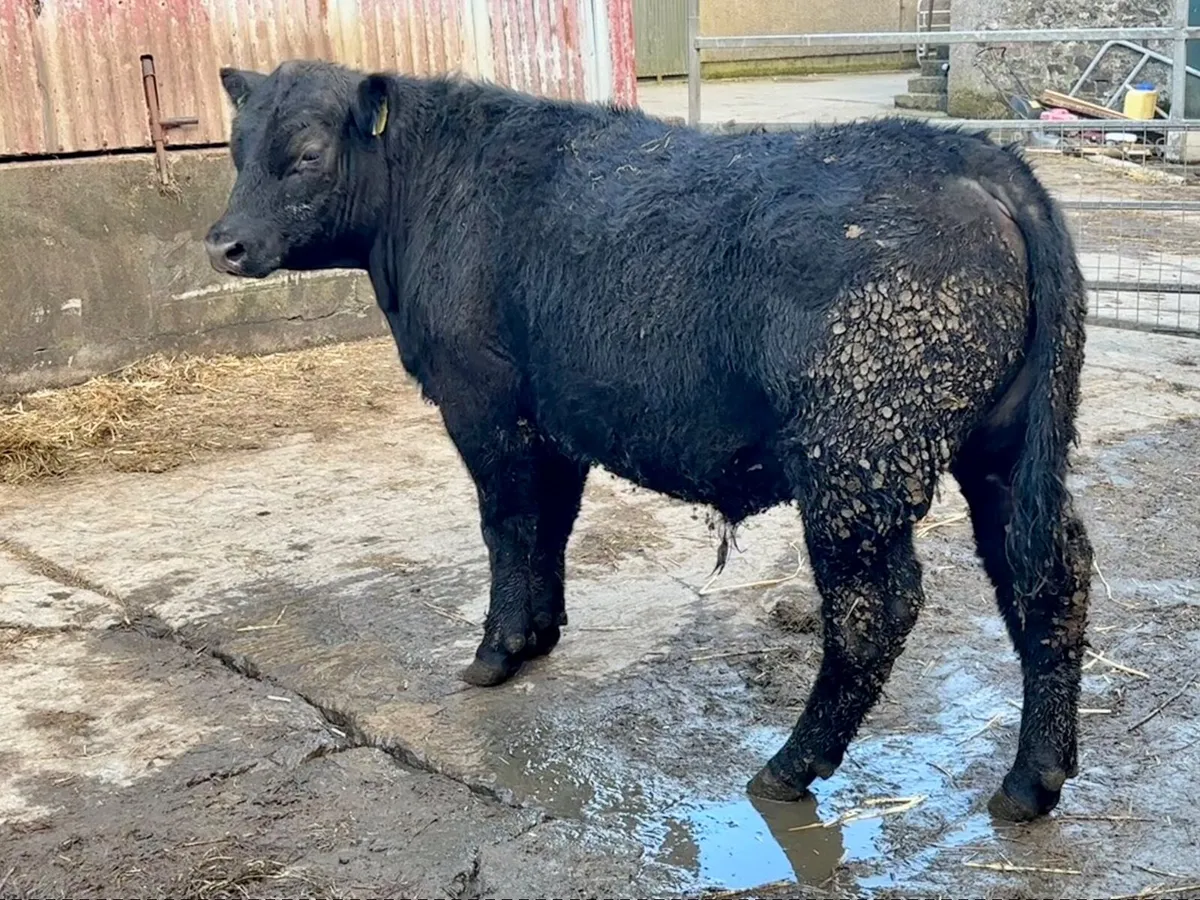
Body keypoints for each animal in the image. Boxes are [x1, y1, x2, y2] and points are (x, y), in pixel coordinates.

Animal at [204, 60, 1093, 823]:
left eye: (307, 155)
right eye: (236, 148)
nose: (224, 244)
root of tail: (980, 159)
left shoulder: (483, 403)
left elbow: (507, 525)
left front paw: (495, 653)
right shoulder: (552, 416)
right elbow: (550, 524)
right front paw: (539, 635)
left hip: (855, 461)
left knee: (875, 611)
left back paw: (790, 766)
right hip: (1001, 451)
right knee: (1048, 574)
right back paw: (1031, 781)